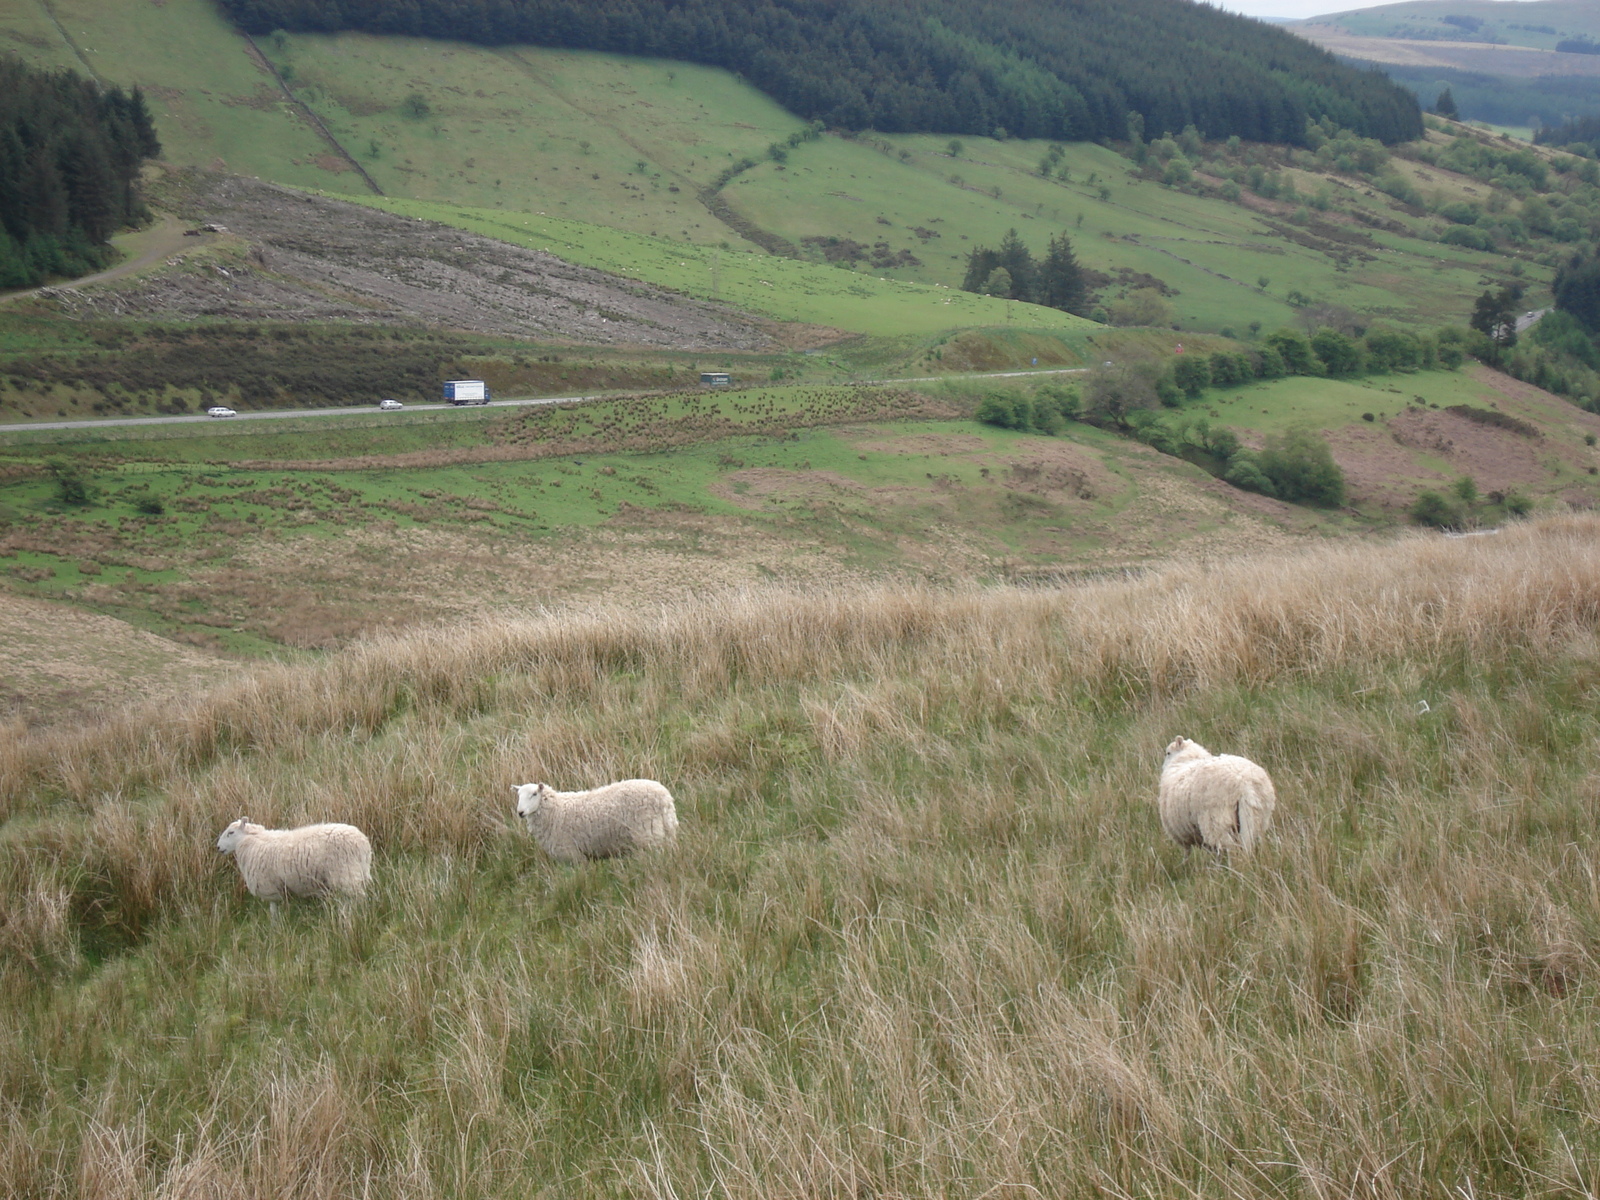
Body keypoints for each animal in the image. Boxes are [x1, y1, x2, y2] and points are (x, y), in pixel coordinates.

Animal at [214, 819, 372, 921]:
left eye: (231, 832)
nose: (218, 847)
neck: (252, 841)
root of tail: (363, 842)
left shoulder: (269, 886)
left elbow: (273, 908)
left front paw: (275, 927)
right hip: (359, 871)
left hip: (346, 873)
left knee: (358, 898)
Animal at [515, 780, 678, 864]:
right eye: (518, 796)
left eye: (534, 794)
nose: (520, 812)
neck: (556, 810)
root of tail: (664, 797)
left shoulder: (573, 855)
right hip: (667, 830)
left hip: (648, 835)